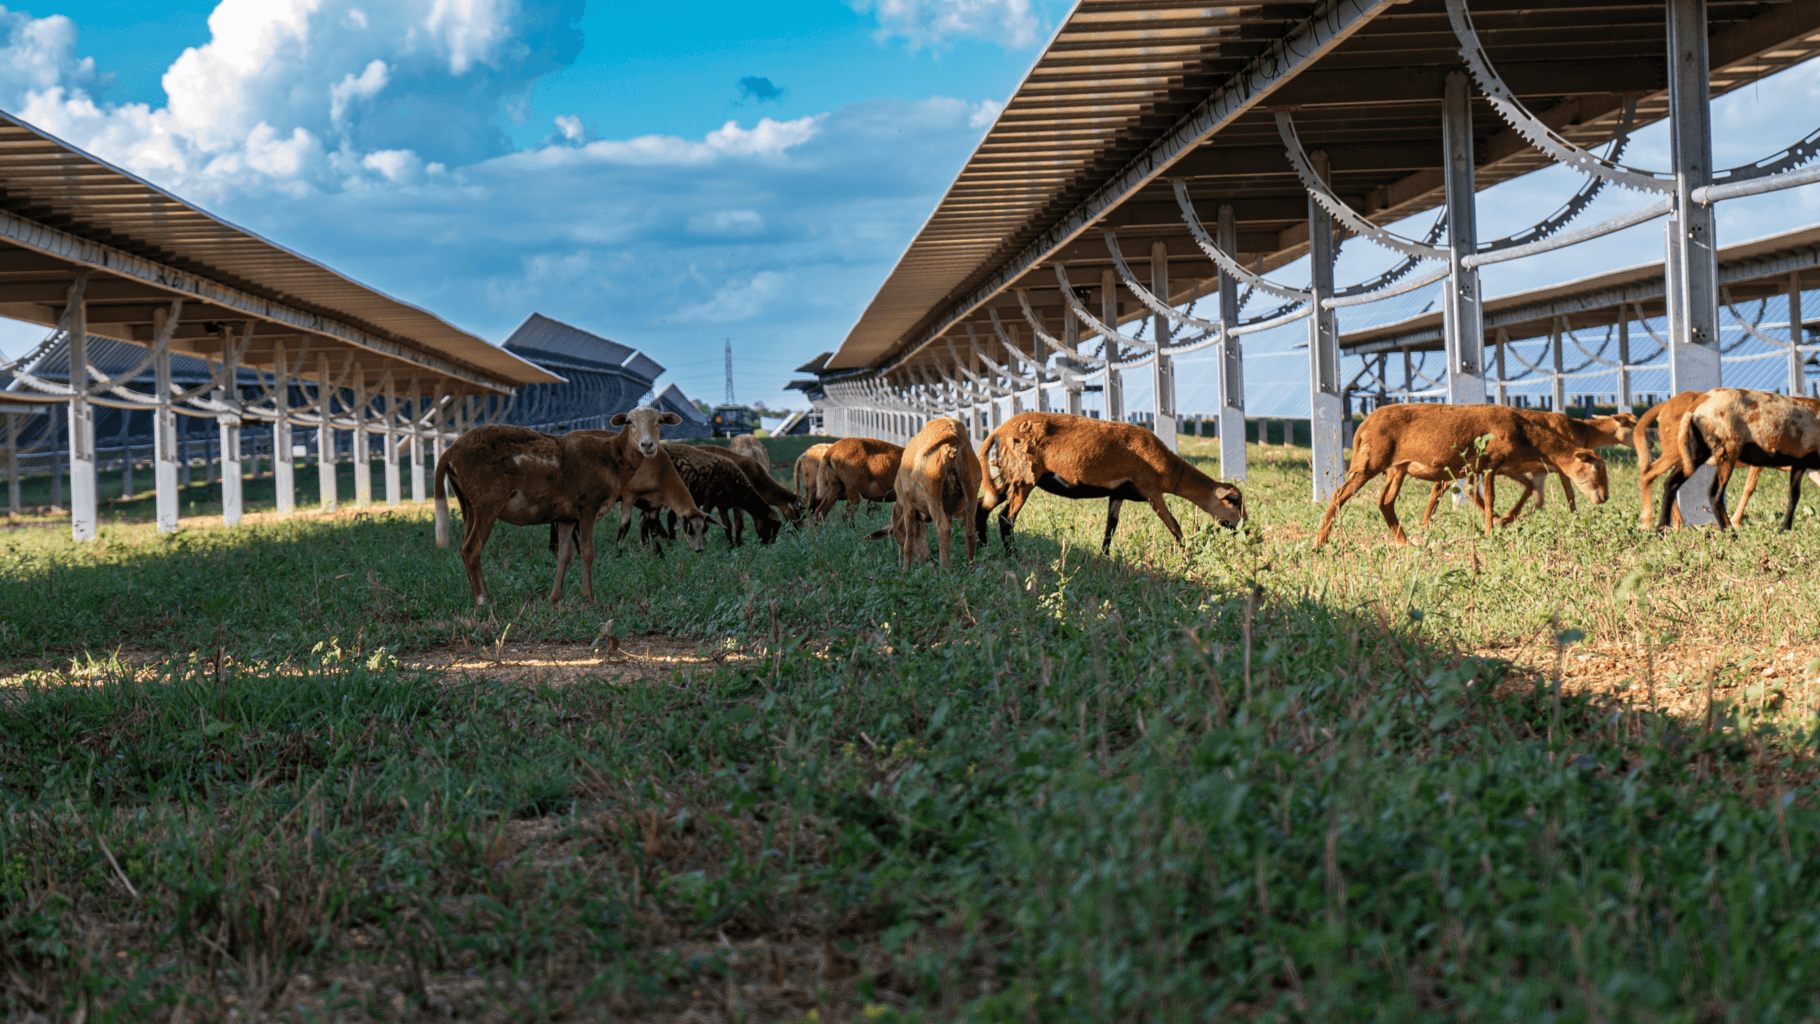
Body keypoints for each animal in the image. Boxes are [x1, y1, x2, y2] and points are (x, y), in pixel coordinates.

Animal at [429, 411, 706, 603]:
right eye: (629, 422)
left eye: (659, 421)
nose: (647, 445)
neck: (611, 458)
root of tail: (451, 451)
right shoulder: (588, 507)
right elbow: (588, 553)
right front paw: (588, 596)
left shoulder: (566, 517)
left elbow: (564, 555)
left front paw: (556, 598)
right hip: (488, 501)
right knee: (471, 548)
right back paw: (484, 600)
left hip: (468, 503)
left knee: (464, 548)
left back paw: (475, 594)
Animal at [866, 416, 982, 567]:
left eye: (898, 533)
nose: (925, 559)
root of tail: (952, 437)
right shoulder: (949, 511)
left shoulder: (907, 505)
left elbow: (909, 541)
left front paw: (906, 568)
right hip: (971, 485)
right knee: (969, 531)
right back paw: (970, 567)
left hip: (932, 489)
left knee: (943, 528)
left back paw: (944, 569)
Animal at [968, 409, 1252, 556]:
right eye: (1234, 501)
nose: (1247, 530)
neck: (1172, 471)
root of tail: (999, 431)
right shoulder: (1150, 490)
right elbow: (1174, 526)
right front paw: (1187, 554)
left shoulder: (1118, 492)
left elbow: (1110, 529)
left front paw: (1104, 557)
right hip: (1024, 477)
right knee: (1005, 518)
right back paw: (1012, 557)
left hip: (1009, 475)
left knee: (983, 506)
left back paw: (983, 548)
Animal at [1310, 401, 1608, 552]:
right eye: (1595, 470)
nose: (1604, 498)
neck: (1525, 435)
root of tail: (1363, 426)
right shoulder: (1489, 464)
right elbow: (1489, 499)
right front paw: (1491, 530)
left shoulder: (1485, 468)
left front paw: (1498, 523)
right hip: (1370, 461)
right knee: (1340, 494)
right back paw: (1320, 541)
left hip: (1397, 468)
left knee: (1385, 502)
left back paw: (1405, 542)